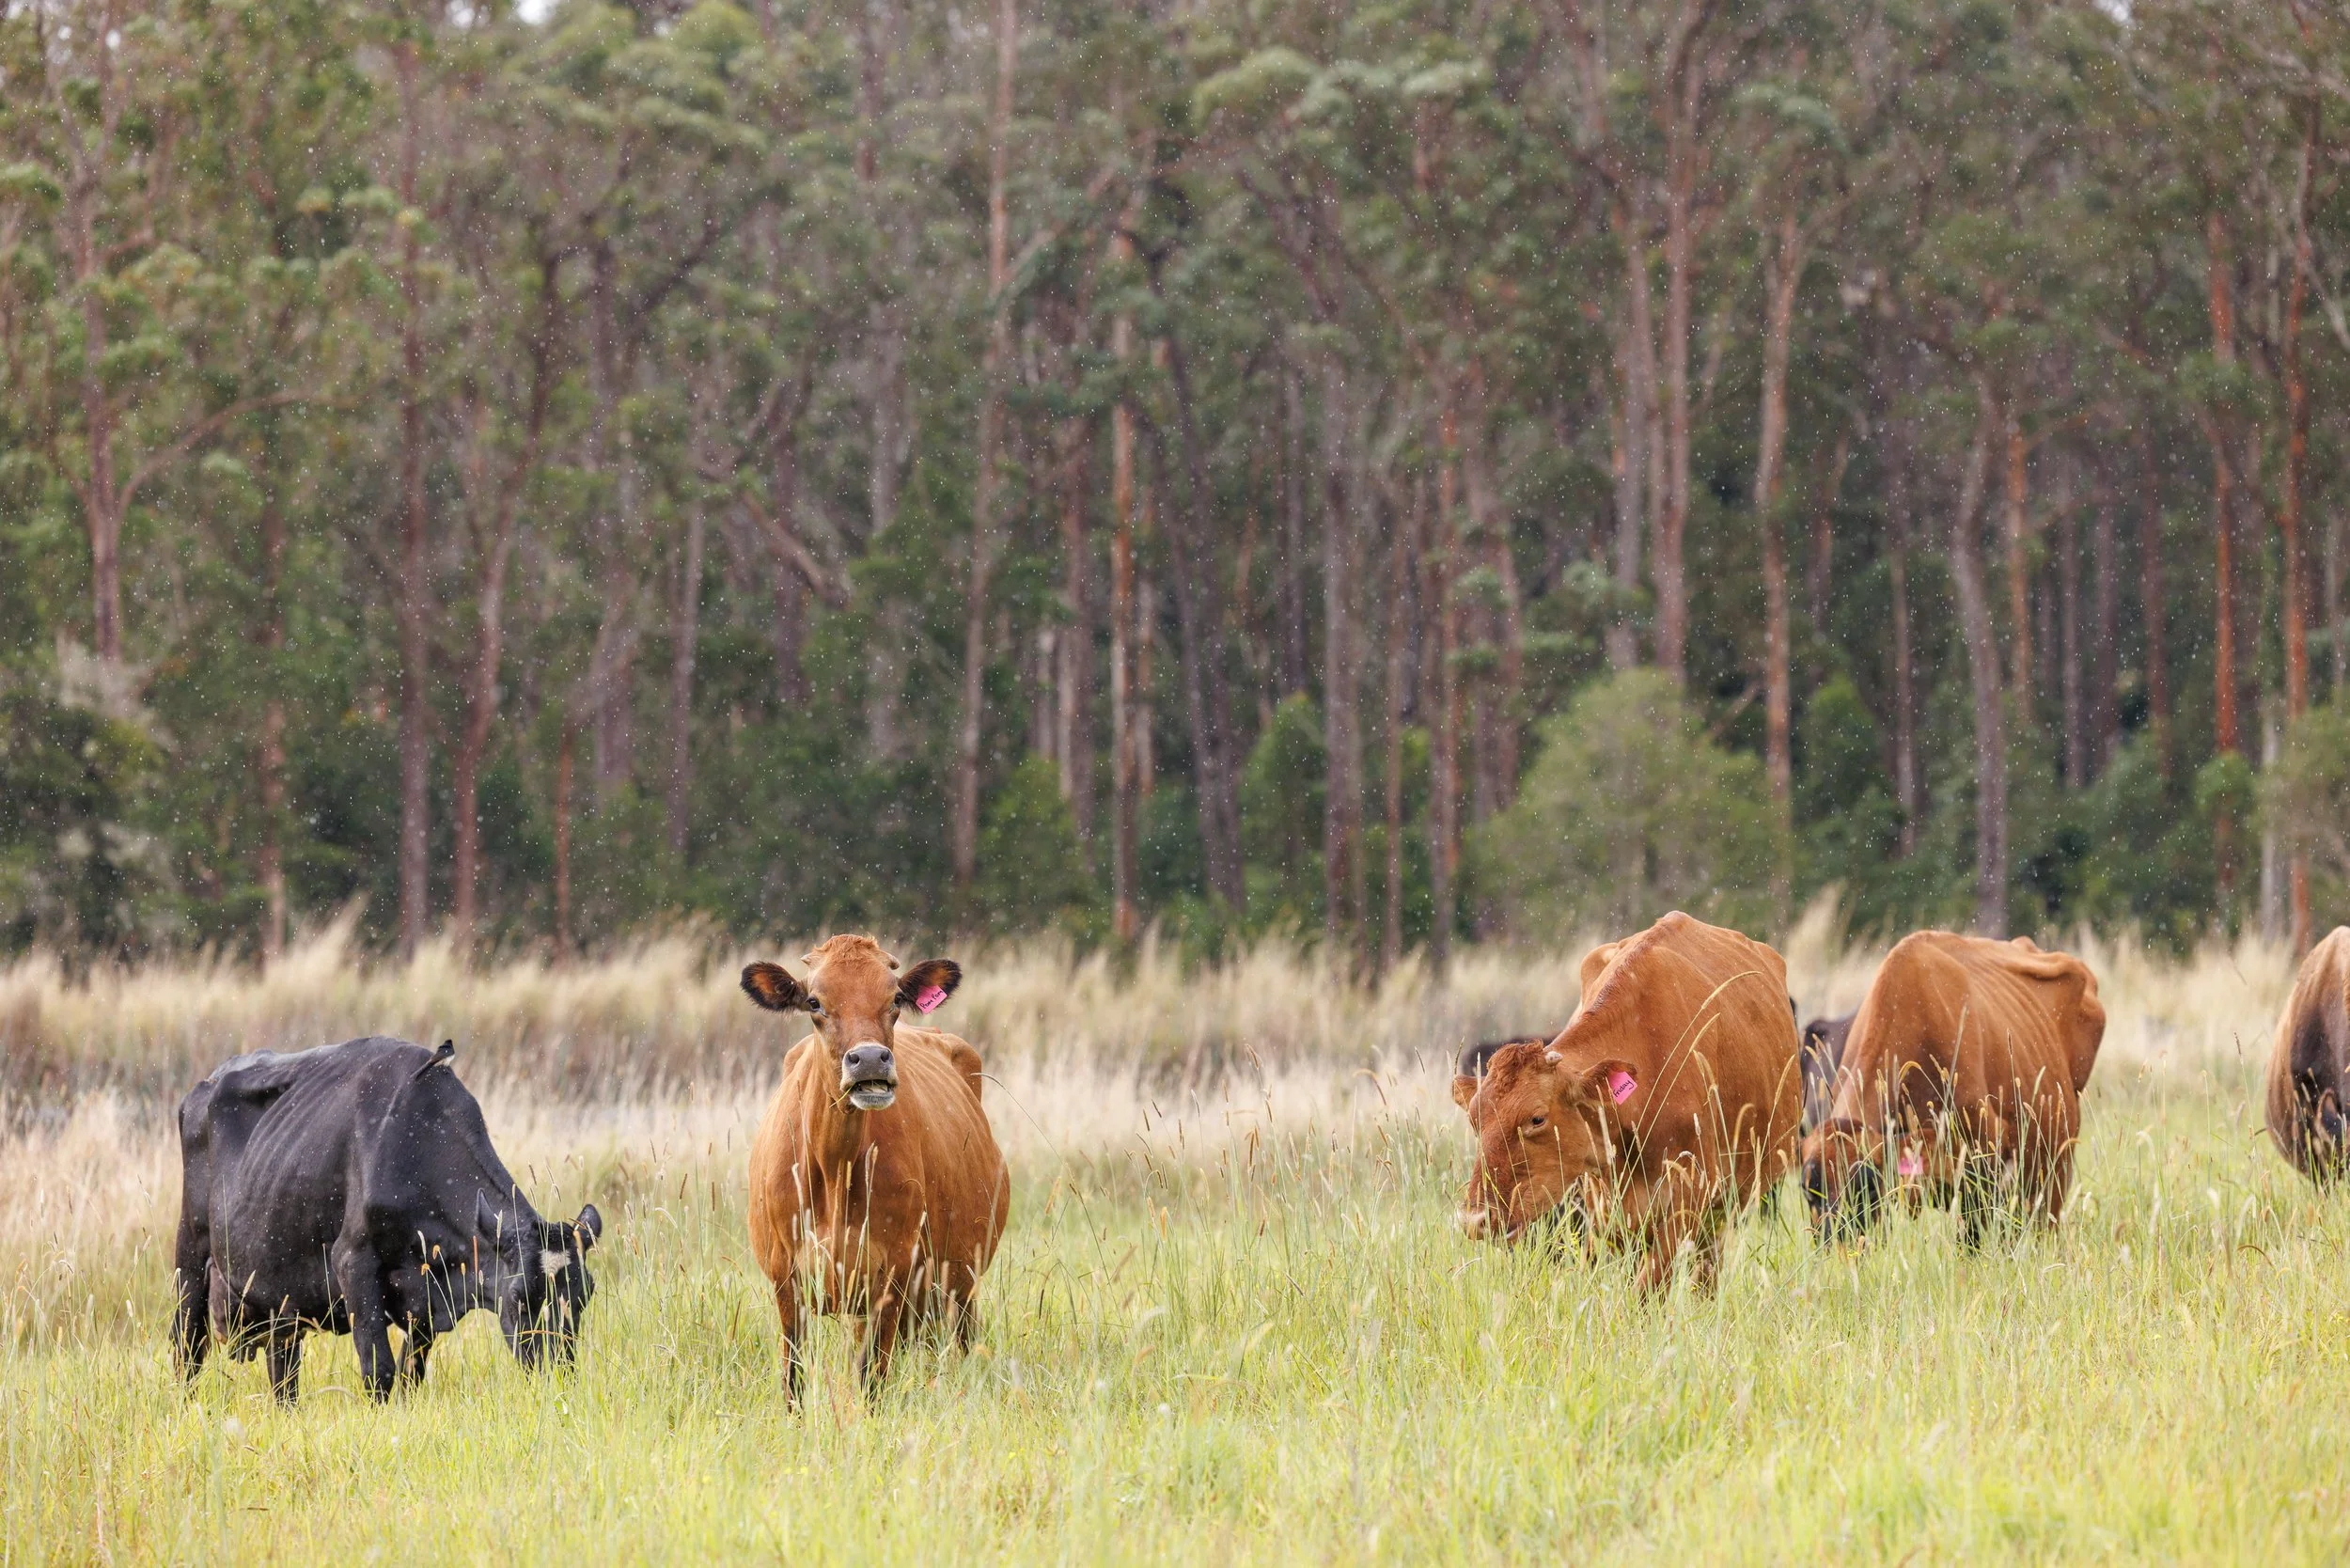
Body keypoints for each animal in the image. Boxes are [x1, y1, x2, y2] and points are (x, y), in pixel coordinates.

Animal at [172, 1036, 603, 1405]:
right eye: (520, 1297)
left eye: (584, 1295)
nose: (557, 1374)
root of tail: (207, 1082)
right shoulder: (353, 1263)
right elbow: (378, 1370)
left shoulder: (428, 1296)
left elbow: (412, 1374)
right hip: (190, 1256)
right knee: (186, 1348)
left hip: (278, 1297)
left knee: (283, 1374)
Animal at [741, 934, 1009, 1402]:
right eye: (814, 1002)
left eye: (896, 997)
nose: (868, 1059)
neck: (836, 1168)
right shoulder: (785, 1276)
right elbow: (794, 1375)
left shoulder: (894, 1272)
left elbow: (872, 1377)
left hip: (959, 1281)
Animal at [1453, 912, 1803, 1294]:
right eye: (1474, 1120)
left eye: (1537, 1118)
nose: (1475, 1218)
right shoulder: (1609, 1208)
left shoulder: (1691, 1196)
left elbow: (1650, 1284)